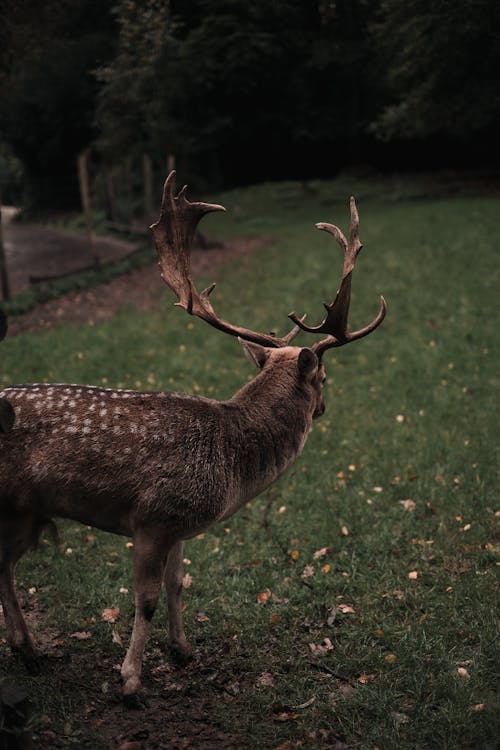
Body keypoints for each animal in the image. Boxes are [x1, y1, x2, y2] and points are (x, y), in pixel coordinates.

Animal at [0, 173, 386, 708]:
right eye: (324, 378)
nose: (325, 407)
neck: (230, 464)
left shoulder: (179, 526)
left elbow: (178, 584)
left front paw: (183, 651)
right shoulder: (152, 517)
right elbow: (145, 599)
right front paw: (131, 682)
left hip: (28, 512)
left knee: (3, 566)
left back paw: (28, 651)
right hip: (17, 507)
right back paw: (29, 649)